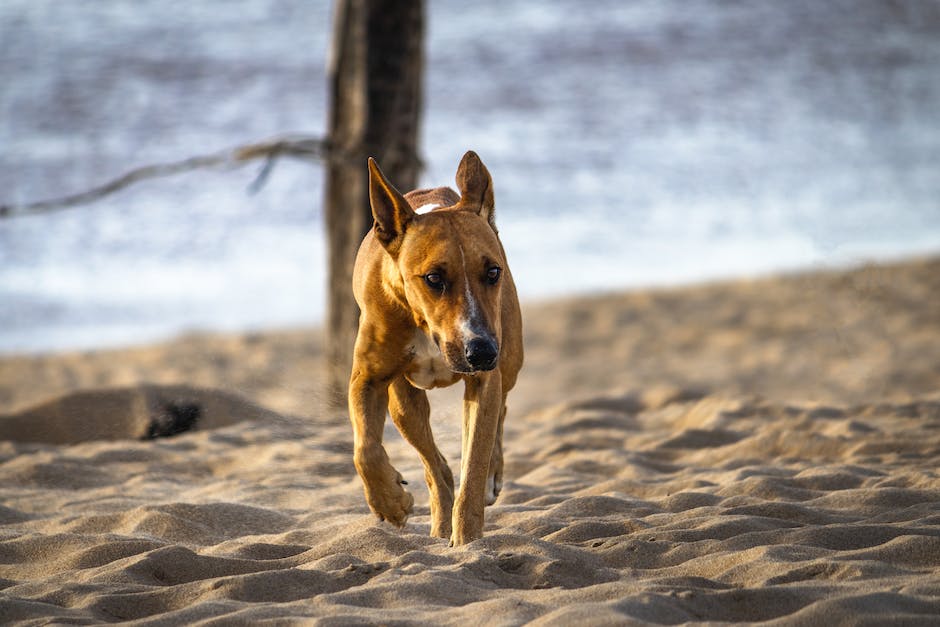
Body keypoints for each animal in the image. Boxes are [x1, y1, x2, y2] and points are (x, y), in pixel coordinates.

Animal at [346, 151, 520, 544]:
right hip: (403, 402)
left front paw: (468, 540)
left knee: (499, 409)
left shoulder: (484, 378)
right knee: (435, 466)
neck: (425, 324)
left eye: (492, 272)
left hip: (511, 358)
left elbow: (474, 465)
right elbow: (364, 449)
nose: (482, 352)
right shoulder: (369, 378)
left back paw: (490, 476)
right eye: (434, 278)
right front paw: (390, 502)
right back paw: (438, 523)